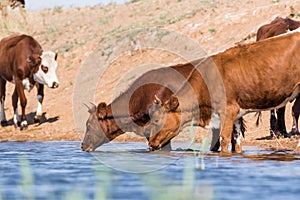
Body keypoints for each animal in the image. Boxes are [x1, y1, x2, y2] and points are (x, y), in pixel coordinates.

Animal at [148, 28, 300, 153]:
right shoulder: (237, 114)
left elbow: (224, 139)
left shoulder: (228, 110)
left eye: (156, 120)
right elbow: (237, 142)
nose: (150, 144)